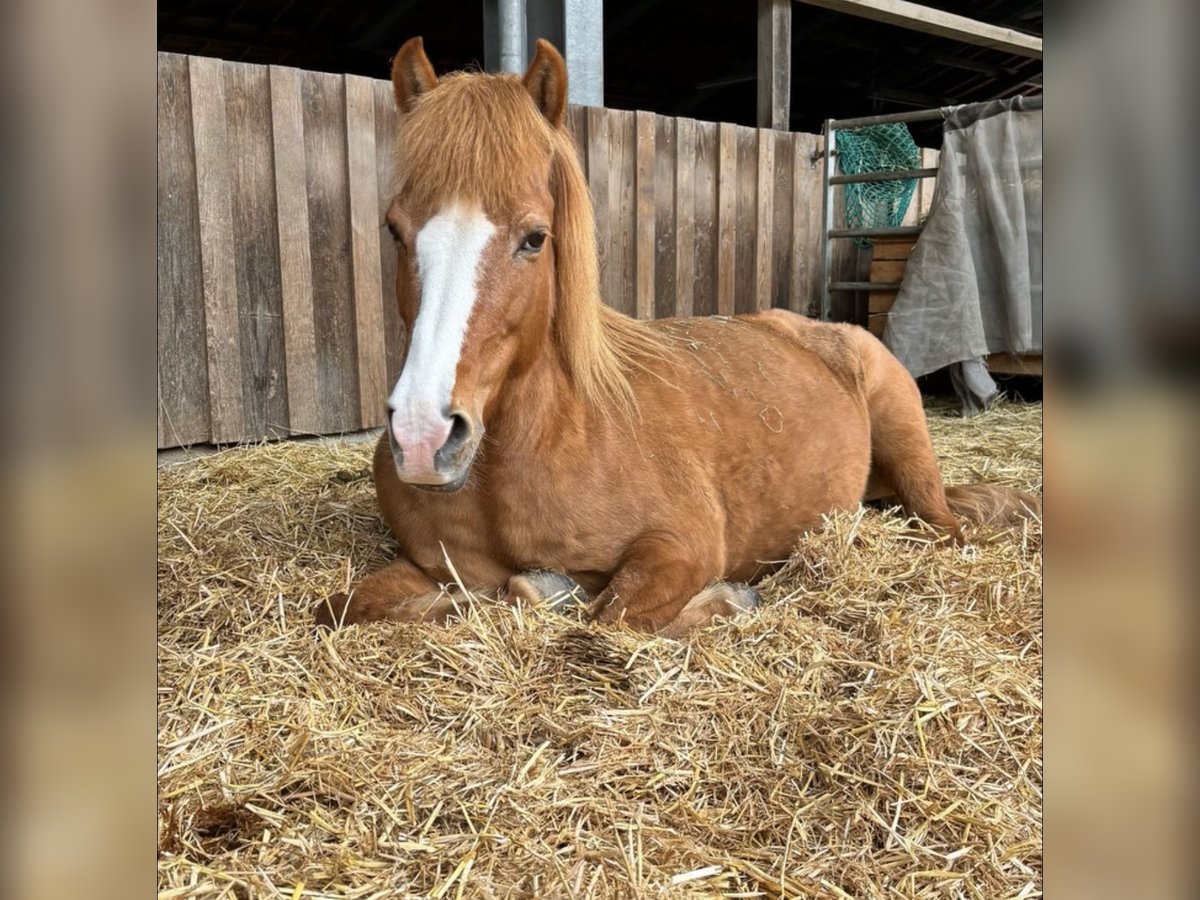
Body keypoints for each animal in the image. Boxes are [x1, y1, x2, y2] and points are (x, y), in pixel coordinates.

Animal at [314, 38, 1036, 638]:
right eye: (395, 229)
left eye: (534, 238)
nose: (423, 436)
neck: (548, 437)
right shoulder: (429, 567)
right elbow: (349, 605)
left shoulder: (679, 547)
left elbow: (612, 616)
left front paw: (727, 599)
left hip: (911, 455)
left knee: (943, 527)